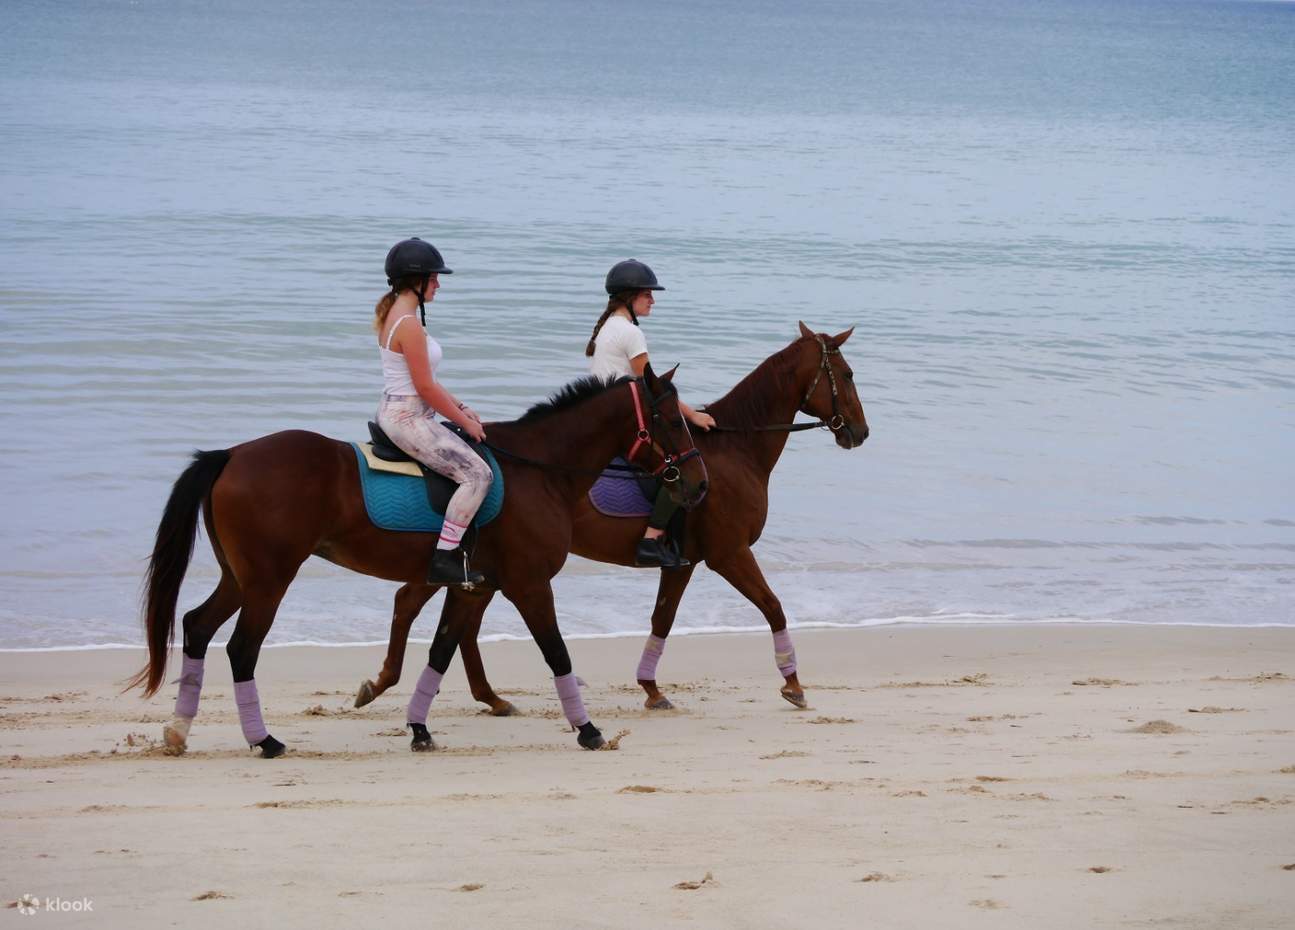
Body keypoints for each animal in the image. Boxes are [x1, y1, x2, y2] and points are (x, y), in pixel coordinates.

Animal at [129, 365, 707, 756]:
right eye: (668, 420)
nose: (699, 484)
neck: (537, 470)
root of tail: (231, 454)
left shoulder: (475, 585)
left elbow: (442, 649)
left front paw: (419, 727)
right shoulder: (528, 584)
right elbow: (556, 652)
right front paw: (587, 729)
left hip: (241, 578)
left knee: (197, 626)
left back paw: (179, 730)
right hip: (269, 581)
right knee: (241, 648)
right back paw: (264, 739)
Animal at [355, 323, 867, 716]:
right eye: (846, 373)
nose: (860, 433)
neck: (733, 449)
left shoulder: (683, 562)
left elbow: (663, 618)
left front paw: (651, 688)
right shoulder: (729, 553)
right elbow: (773, 606)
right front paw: (793, 684)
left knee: (448, 614)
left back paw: (481, 696)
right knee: (414, 602)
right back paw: (391, 684)